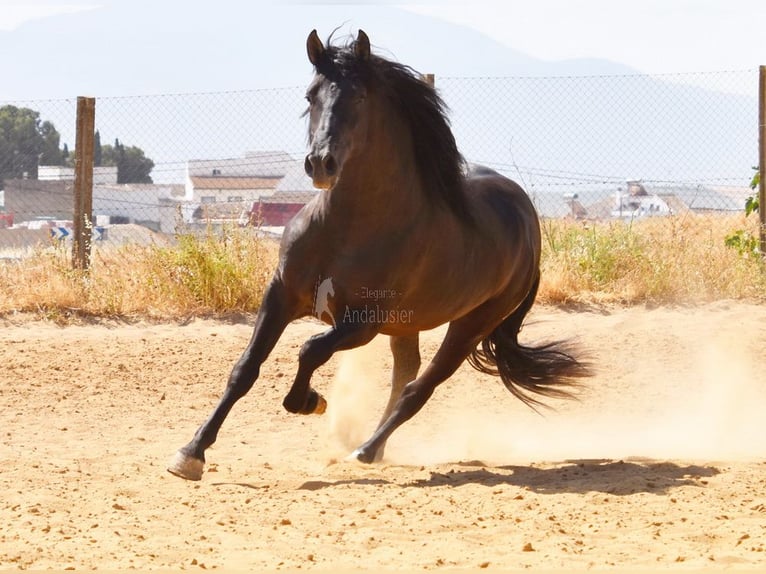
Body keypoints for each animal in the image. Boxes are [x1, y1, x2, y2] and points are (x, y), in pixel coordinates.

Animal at [166, 30, 588, 482]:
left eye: (360, 96)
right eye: (311, 94)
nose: (321, 163)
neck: (348, 228)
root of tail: (526, 218)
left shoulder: (363, 322)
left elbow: (310, 349)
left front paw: (309, 401)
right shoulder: (280, 295)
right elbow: (245, 368)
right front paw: (190, 454)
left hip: (472, 324)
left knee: (418, 388)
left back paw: (364, 451)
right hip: (410, 325)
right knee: (407, 373)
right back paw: (373, 448)